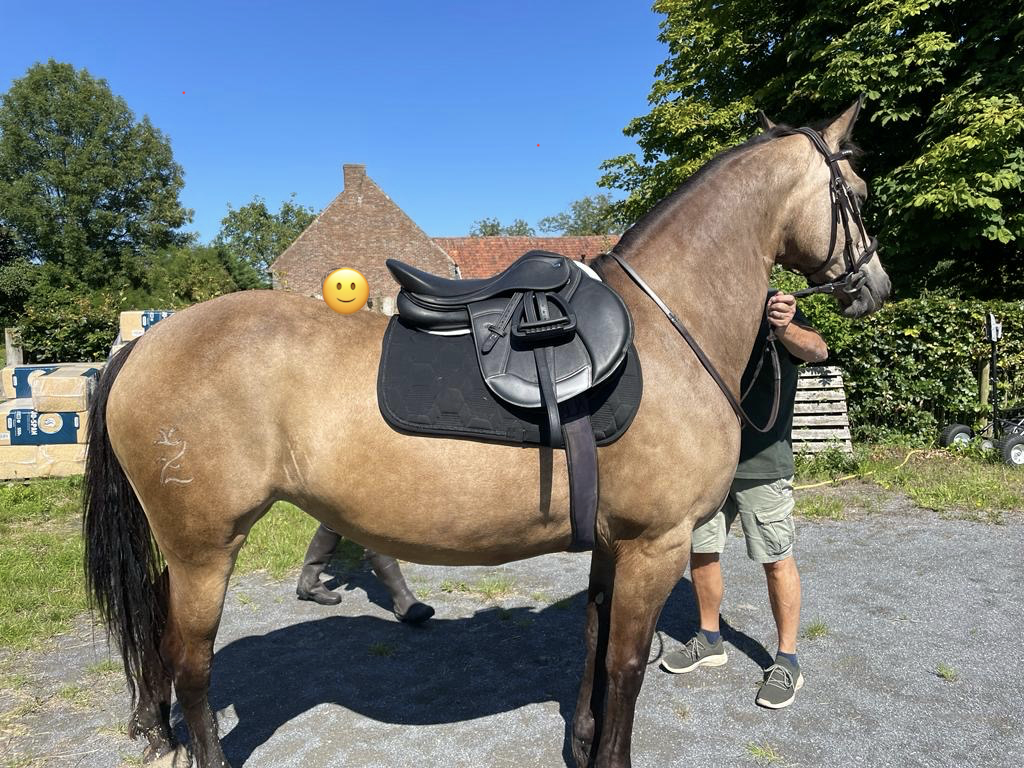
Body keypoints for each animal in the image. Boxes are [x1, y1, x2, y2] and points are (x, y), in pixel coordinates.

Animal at [83, 101, 890, 768]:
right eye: (860, 194)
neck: (668, 329)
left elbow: (593, 644)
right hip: (204, 551)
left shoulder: (613, 542)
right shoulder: (655, 545)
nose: (877, 286)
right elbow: (625, 667)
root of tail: (143, 344)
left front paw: (582, 743)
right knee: (192, 664)